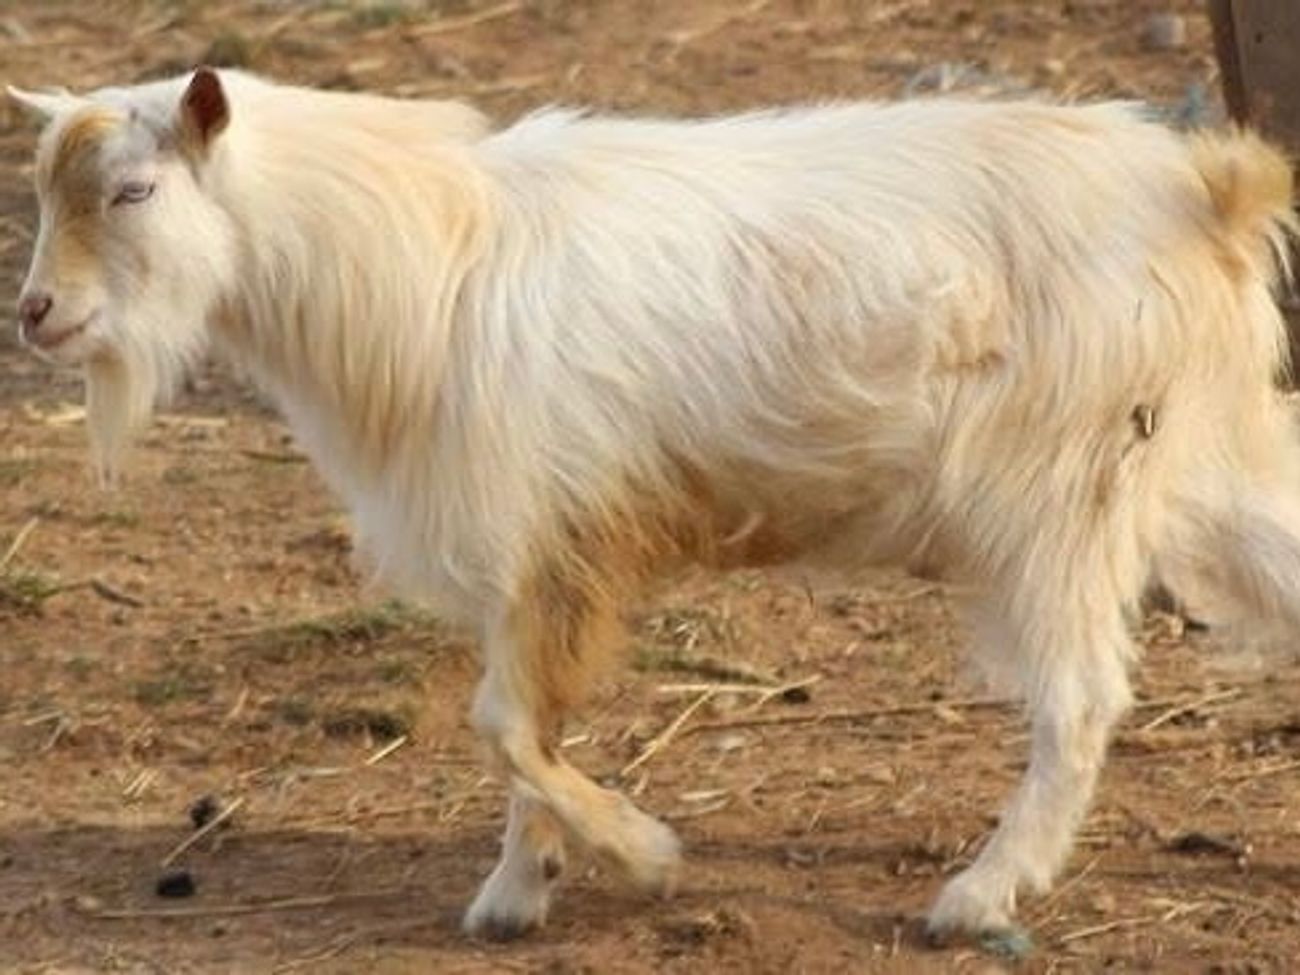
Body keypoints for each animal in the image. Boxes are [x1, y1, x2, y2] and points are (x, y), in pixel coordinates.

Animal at [9, 68, 1297, 941]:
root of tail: (1201, 187)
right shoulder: (527, 554)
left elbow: (503, 723)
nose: (36, 314)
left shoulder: (556, 535)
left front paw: (643, 856)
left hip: (1059, 496)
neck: (432, 261)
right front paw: (518, 891)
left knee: (1078, 702)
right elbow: (522, 725)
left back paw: (979, 896)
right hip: (1197, 463)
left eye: (133, 190)